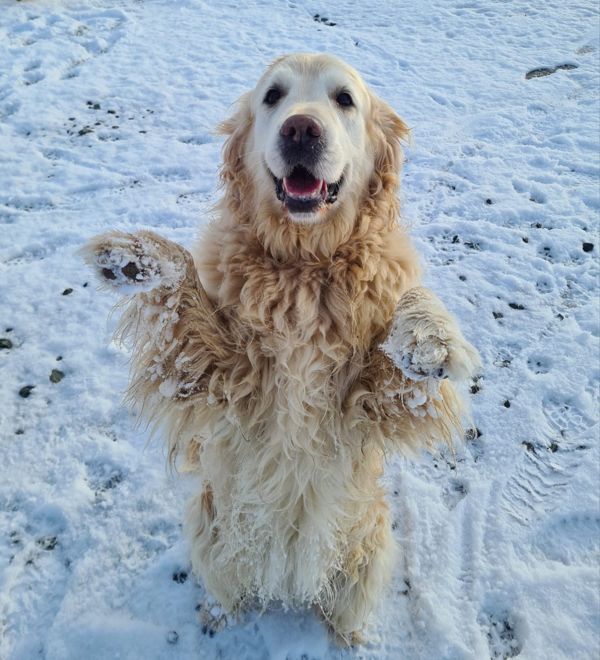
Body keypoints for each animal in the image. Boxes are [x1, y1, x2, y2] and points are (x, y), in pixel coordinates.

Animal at [82, 52, 480, 644]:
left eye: (344, 99)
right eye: (273, 96)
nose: (300, 129)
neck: (304, 267)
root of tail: (289, 585)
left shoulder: (372, 403)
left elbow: (413, 313)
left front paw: (429, 337)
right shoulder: (218, 377)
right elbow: (185, 292)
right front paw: (136, 256)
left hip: (370, 546)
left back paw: (351, 638)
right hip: (209, 527)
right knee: (227, 589)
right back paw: (218, 618)